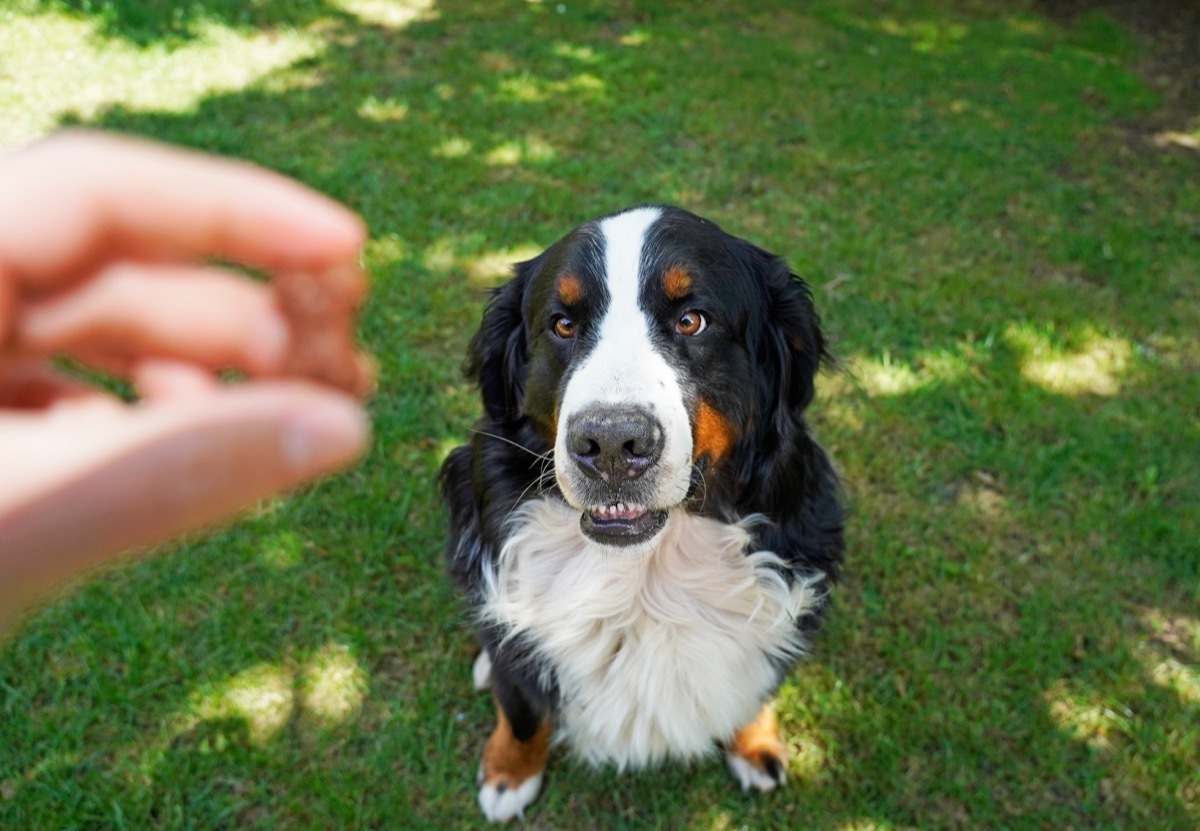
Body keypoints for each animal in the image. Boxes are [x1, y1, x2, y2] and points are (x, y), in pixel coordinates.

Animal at [441, 204, 844, 821]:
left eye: (692, 321)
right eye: (563, 325)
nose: (611, 444)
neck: (646, 575)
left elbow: (761, 680)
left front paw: (755, 743)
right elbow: (523, 707)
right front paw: (509, 773)